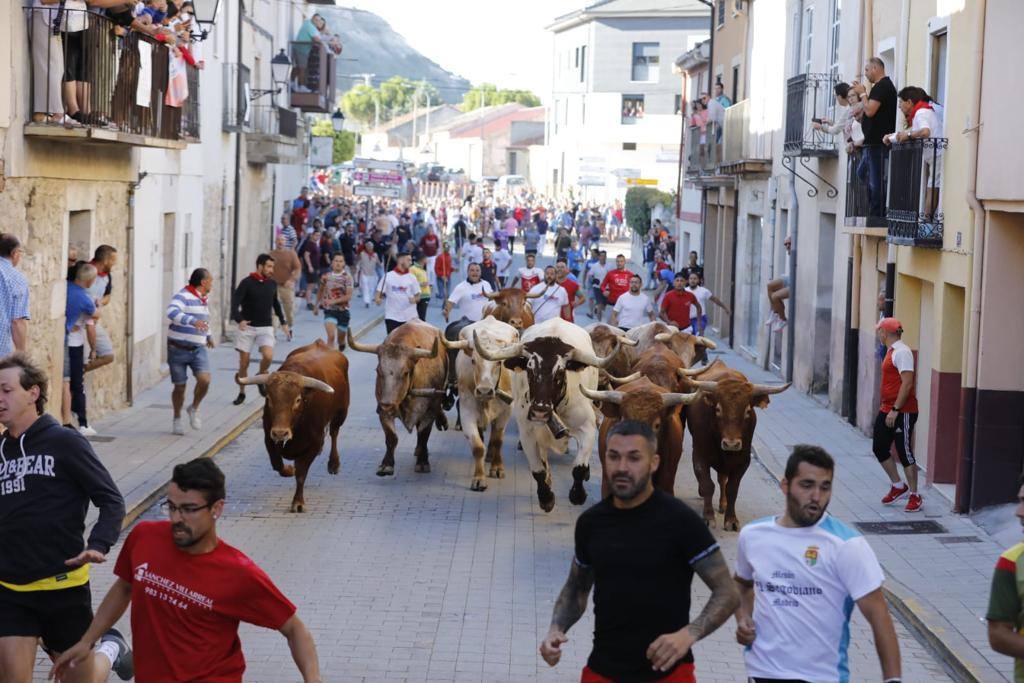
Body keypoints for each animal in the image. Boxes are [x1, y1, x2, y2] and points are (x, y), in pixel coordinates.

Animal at [238, 342, 348, 511]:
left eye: (297, 400)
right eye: (269, 398)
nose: (280, 433)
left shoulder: (313, 443)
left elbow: (301, 474)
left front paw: (298, 502)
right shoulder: (268, 438)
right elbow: (278, 465)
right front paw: (289, 470)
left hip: (341, 413)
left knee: (334, 432)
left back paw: (333, 464)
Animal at [348, 319, 448, 475]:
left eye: (405, 372)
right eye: (378, 370)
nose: (387, 403)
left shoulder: (430, 410)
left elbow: (423, 434)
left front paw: (423, 462)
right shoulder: (383, 410)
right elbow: (391, 437)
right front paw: (386, 464)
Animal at [473, 317, 614, 509]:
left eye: (561, 372)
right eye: (529, 369)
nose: (540, 411)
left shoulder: (588, 428)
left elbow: (579, 468)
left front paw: (578, 495)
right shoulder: (528, 434)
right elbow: (538, 471)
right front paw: (546, 498)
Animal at [688, 362, 790, 528]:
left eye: (748, 411)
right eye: (718, 409)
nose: (731, 444)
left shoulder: (742, 461)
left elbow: (732, 489)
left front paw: (731, 519)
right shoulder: (699, 455)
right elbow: (707, 485)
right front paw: (708, 516)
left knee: (722, 479)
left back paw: (723, 504)